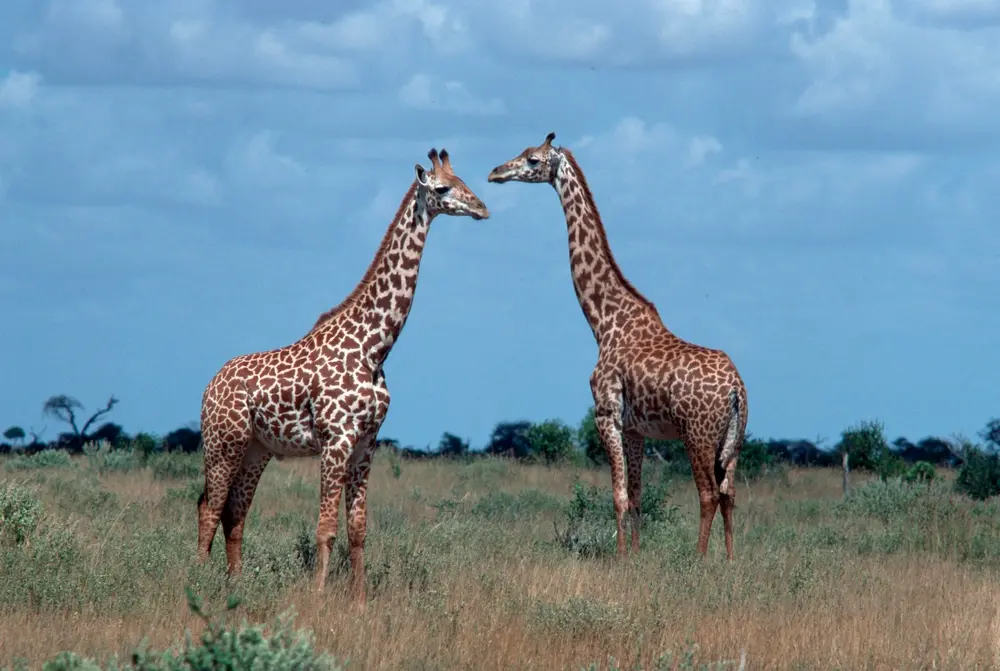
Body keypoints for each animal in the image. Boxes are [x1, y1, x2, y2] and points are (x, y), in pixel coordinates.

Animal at [196, 148, 490, 606]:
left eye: (464, 181)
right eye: (443, 188)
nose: (482, 208)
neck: (374, 346)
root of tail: (210, 384)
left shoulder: (367, 443)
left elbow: (358, 529)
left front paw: (360, 600)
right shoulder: (336, 439)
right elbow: (326, 529)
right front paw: (318, 596)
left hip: (256, 449)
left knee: (234, 512)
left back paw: (236, 583)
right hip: (223, 442)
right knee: (209, 508)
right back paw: (197, 581)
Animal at [487, 132, 748, 560]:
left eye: (533, 159)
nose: (495, 172)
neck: (605, 322)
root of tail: (736, 389)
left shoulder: (606, 413)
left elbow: (618, 494)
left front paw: (621, 556)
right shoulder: (635, 428)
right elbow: (638, 495)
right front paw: (637, 555)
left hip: (698, 433)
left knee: (709, 493)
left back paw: (699, 559)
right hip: (734, 440)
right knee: (729, 493)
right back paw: (728, 560)